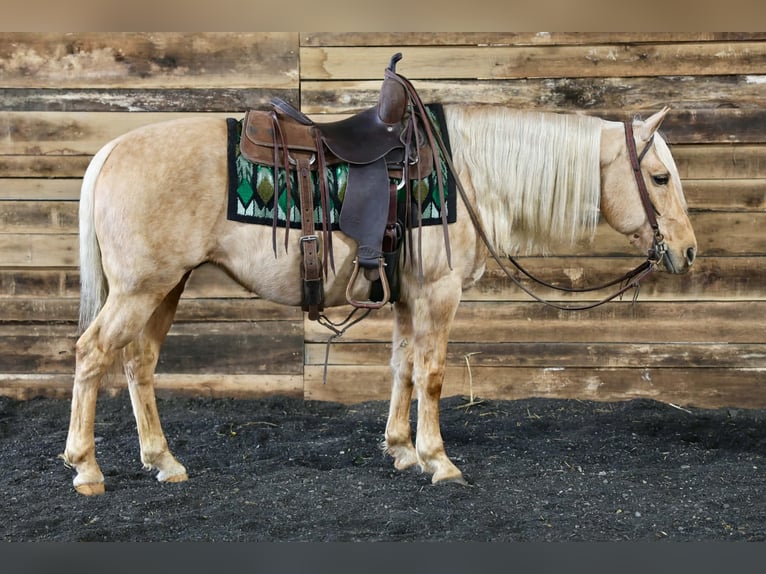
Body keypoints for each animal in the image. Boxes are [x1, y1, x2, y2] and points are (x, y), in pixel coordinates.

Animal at [61, 103, 697, 495]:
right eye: (660, 178)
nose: (688, 251)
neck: (466, 171)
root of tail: (112, 149)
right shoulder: (438, 292)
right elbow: (433, 375)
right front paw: (439, 461)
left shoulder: (409, 297)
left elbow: (402, 367)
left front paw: (401, 449)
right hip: (141, 289)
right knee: (92, 354)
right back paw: (86, 469)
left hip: (165, 287)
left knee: (139, 363)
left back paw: (163, 461)